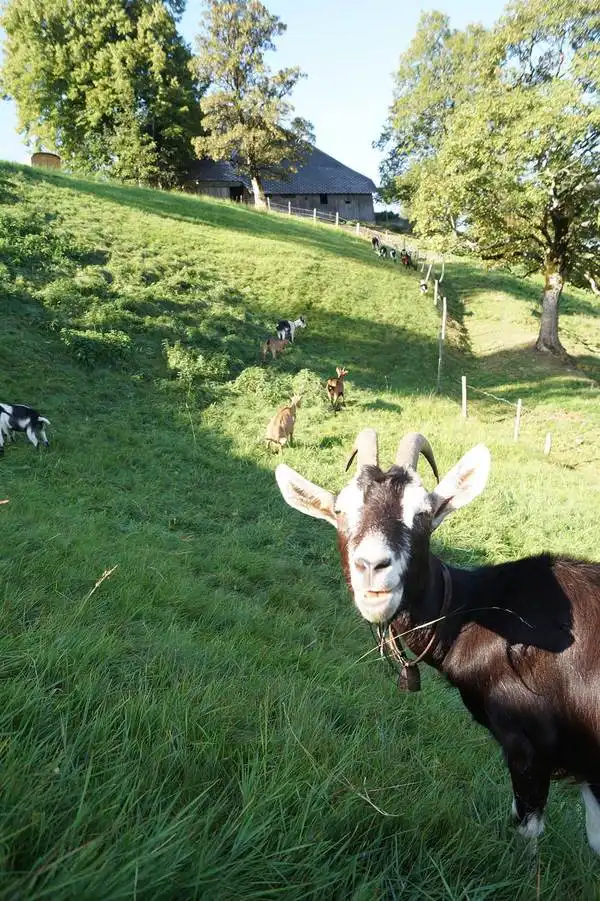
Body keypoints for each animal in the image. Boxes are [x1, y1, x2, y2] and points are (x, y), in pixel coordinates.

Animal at [276, 432, 600, 856]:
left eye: (423, 514)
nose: (372, 567)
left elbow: (526, 829)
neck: (477, 609)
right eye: (341, 510)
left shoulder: (529, 748)